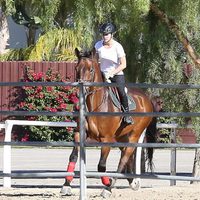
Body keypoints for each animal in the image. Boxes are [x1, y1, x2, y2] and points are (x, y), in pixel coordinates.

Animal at [61, 48, 155, 197]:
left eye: (91, 69)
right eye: (76, 69)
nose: (81, 92)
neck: (95, 105)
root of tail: (146, 98)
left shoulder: (106, 140)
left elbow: (101, 165)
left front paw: (107, 183)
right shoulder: (79, 134)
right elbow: (73, 157)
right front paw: (66, 185)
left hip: (133, 136)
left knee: (123, 159)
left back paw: (109, 188)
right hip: (122, 137)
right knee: (127, 157)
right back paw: (131, 181)